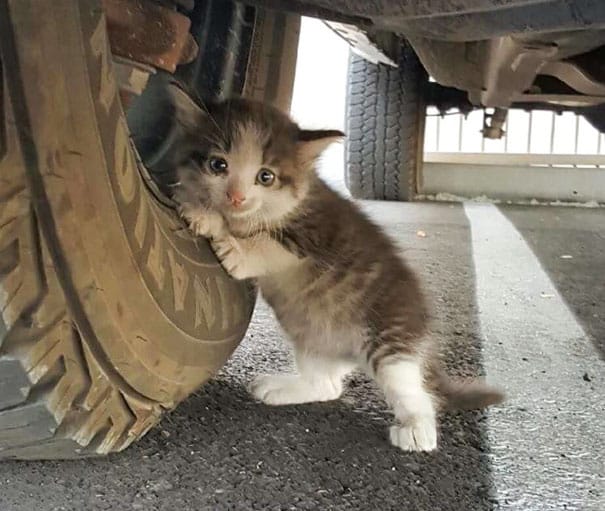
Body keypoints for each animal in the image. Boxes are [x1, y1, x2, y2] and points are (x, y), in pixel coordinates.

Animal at [168, 86, 502, 454]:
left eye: (265, 176)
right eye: (218, 165)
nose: (236, 197)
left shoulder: (317, 235)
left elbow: (264, 242)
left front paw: (217, 226)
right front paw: (199, 204)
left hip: (390, 337)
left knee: (413, 389)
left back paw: (418, 429)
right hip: (312, 338)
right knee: (328, 386)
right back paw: (282, 388)